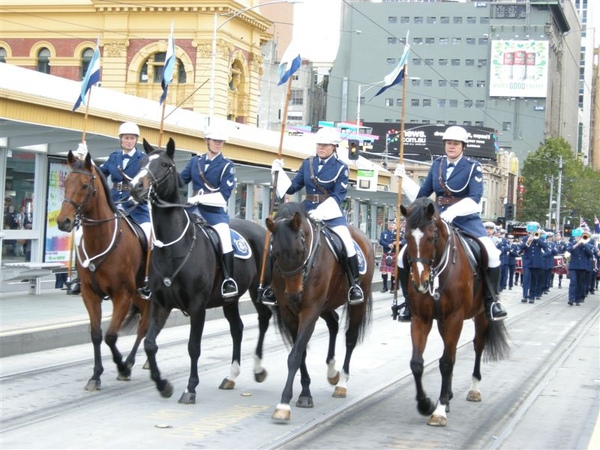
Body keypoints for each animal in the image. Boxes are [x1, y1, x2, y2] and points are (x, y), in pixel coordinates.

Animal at [56, 151, 151, 390]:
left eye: (84, 185)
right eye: (66, 183)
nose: (63, 222)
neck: (101, 239)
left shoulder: (122, 295)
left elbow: (111, 336)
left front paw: (122, 366)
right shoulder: (90, 294)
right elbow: (97, 334)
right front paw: (95, 375)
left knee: (144, 326)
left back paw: (132, 362)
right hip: (139, 296)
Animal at [130, 138, 274, 404]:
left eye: (164, 164)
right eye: (142, 162)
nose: (136, 186)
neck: (174, 246)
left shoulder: (197, 306)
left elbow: (193, 347)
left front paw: (190, 388)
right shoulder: (160, 303)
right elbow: (150, 343)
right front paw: (163, 384)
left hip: (258, 291)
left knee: (263, 320)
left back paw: (258, 369)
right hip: (230, 299)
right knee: (237, 328)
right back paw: (231, 376)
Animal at [264, 202, 372, 424]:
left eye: (300, 250)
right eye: (275, 254)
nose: (294, 294)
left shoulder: (310, 310)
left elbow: (296, 354)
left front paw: (284, 404)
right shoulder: (289, 313)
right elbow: (301, 353)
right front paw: (305, 393)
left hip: (357, 303)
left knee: (350, 338)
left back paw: (342, 383)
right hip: (326, 305)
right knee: (334, 323)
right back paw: (332, 371)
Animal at [400, 199, 508, 428]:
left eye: (431, 237)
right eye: (406, 237)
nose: (419, 282)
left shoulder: (454, 318)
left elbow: (446, 362)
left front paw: (439, 410)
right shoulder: (421, 319)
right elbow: (417, 363)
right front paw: (425, 404)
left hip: (480, 317)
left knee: (477, 346)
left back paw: (473, 389)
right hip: (442, 323)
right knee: (452, 352)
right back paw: (448, 395)